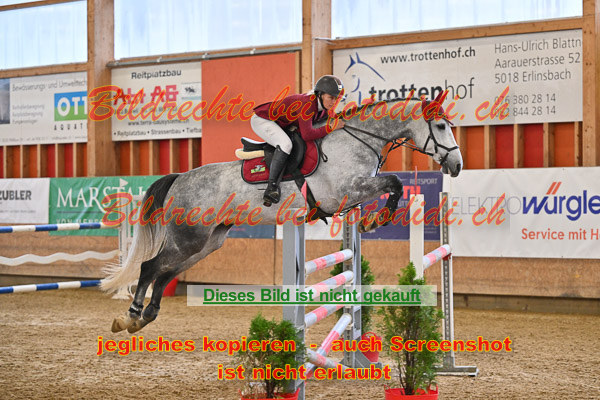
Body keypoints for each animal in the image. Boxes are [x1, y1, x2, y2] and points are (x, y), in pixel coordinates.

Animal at [101, 96, 463, 333]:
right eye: (441, 126)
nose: (457, 166)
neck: (359, 141)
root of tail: (179, 179)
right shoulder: (349, 190)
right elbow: (395, 183)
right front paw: (377, 220)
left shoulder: (355, 192)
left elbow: (391, 186)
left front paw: (370, 220)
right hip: (188, 237)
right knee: (151, 267)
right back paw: (130, 317)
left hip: (207, 241)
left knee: (165, 273)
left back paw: (146, 316)